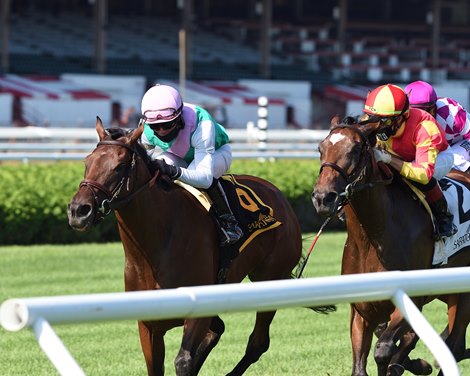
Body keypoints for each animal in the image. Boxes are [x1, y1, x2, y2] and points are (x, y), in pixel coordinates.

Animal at [69, 118, 304, 376]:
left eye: (120, 166)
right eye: (87, 162)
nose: (79, 211)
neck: (154, 249)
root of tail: (279, 195)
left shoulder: (196, 313)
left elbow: (183, 361)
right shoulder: (148, 323)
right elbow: (157, 366)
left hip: (271, 278)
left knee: (257, 343)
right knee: (219, 329)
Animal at [310, 116, 470, 376]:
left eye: (356, 149)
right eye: (320, 148)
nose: (323, 198)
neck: (373, 237)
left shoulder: (410, 299)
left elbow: (384, 349)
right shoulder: (361, 310)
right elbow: (362, 363)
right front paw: (412, 363)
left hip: (461, 294)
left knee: (454, 344)